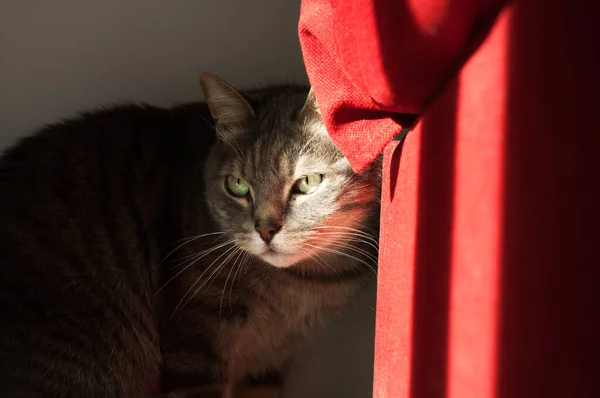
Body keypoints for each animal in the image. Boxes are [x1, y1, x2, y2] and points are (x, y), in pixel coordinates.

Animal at [0, 73, 382, 396]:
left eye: (307, 182)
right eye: (237, 185)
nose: (265, 230)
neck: (300, 288)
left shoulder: (268, 365)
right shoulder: (194, 343)